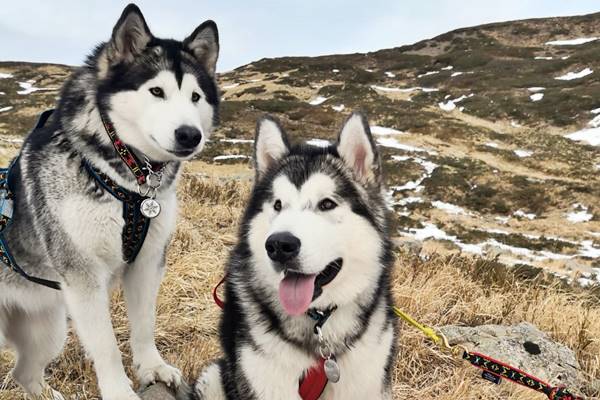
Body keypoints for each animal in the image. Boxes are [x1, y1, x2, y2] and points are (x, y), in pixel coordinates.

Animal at [0, 3, 220, 400]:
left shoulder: (148, 263)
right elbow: (105, 345)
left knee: (24, 371)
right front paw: (119, 390)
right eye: (156, 91)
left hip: (48, 329)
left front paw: (152, 367)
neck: (130, 184)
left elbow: (145, 324)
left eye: (196, 97)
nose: (189, 135)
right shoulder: (83, 277)